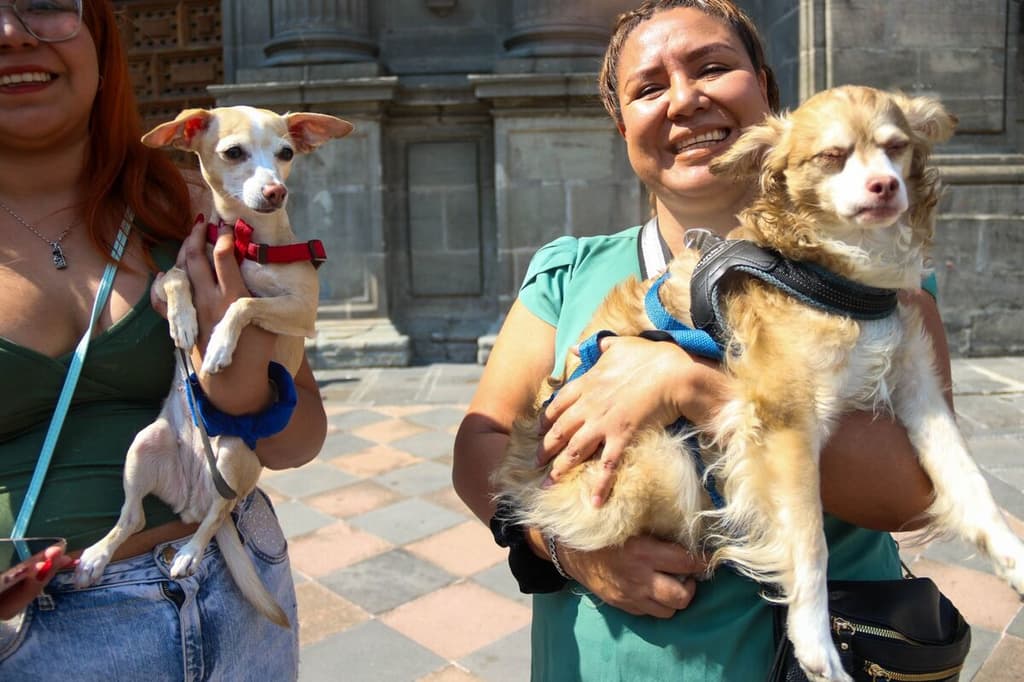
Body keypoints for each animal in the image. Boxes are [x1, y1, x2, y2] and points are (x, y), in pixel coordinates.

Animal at [491, 86, 1019, 679]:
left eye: (896, 148)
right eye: (831, 157)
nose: (885, 185)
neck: (840, 279)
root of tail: (521, 469)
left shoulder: (920, 392)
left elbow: (969, 483)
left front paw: (1013, 560)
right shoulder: (784, 418)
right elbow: (809, 540)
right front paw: (815, 644)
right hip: (661, 465)